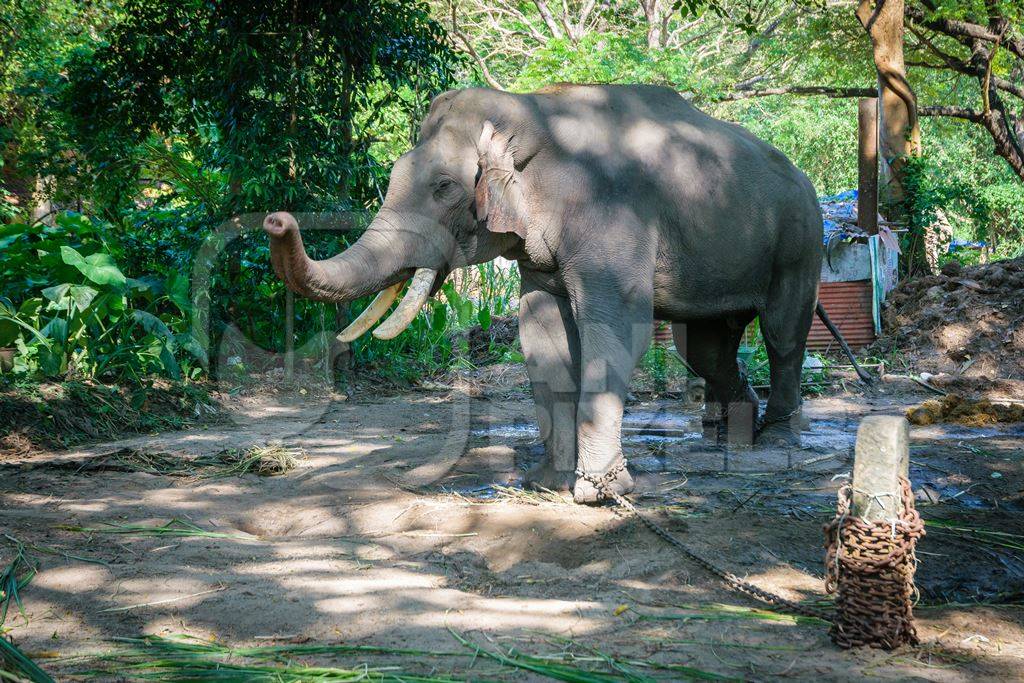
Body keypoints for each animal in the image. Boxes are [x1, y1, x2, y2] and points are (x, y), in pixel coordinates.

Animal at [262, 82, 823, 505]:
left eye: (444, 187)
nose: (276, 219)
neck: (532, 109)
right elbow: (542, 334)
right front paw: (549, 484)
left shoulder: (613, 216)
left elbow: (618, 332)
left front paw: (598, 492)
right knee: (704, 346)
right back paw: (733, 435)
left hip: (801, 238)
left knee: (782, 332)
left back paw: (777, 438)